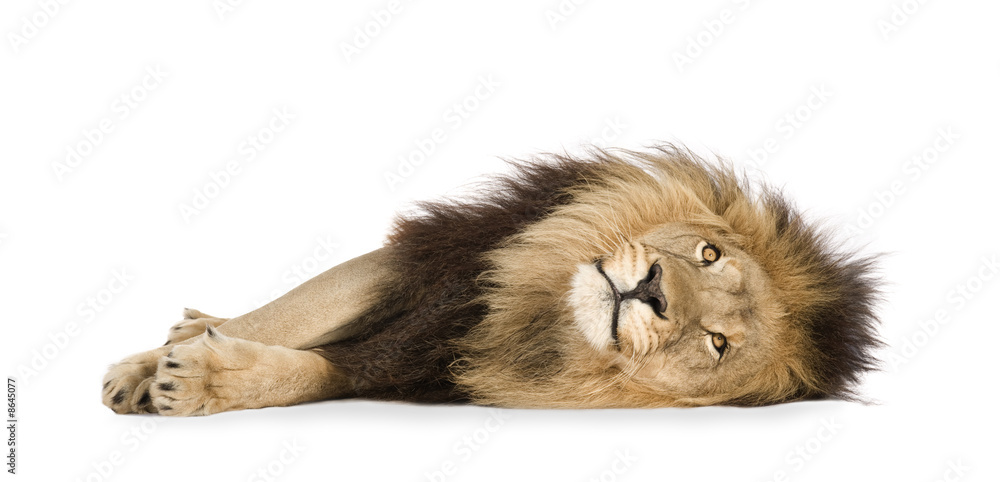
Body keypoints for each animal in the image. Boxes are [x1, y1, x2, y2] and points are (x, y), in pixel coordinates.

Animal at [102, 144, 881, 415]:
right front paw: (137, 369)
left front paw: (199, 380)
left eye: (717, 343)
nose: (654, 290)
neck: (533, 308)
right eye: (708, 253)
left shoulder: (424, 364)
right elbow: (283, 317)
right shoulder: (439, 263)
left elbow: (313, 370)